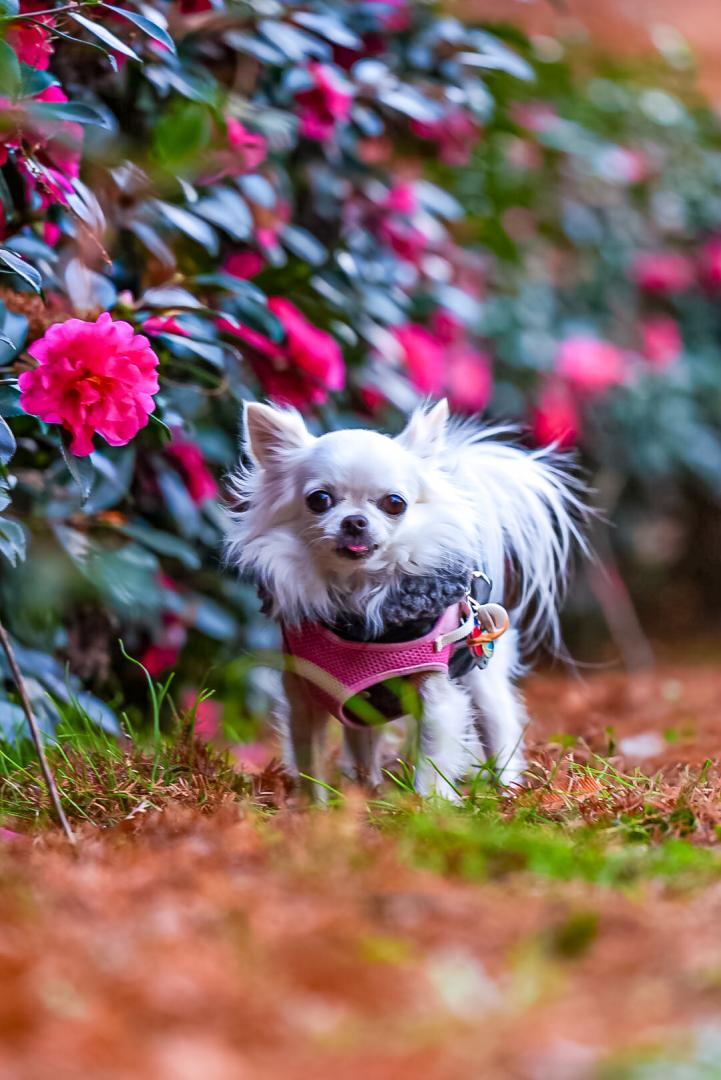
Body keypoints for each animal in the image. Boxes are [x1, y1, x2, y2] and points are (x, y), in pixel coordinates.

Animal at [226, 401, 587, 799]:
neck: (359, 603)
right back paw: (367, 789)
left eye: (394, 503)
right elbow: (311, 764)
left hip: (484, 683)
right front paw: (312, 807)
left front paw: (427, 805)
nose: (354, 521)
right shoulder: (305, 698)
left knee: (500, 732)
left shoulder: (439, 699)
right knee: (362, 745)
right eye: (319, 500)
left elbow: (432, 763)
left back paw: (508, 793)